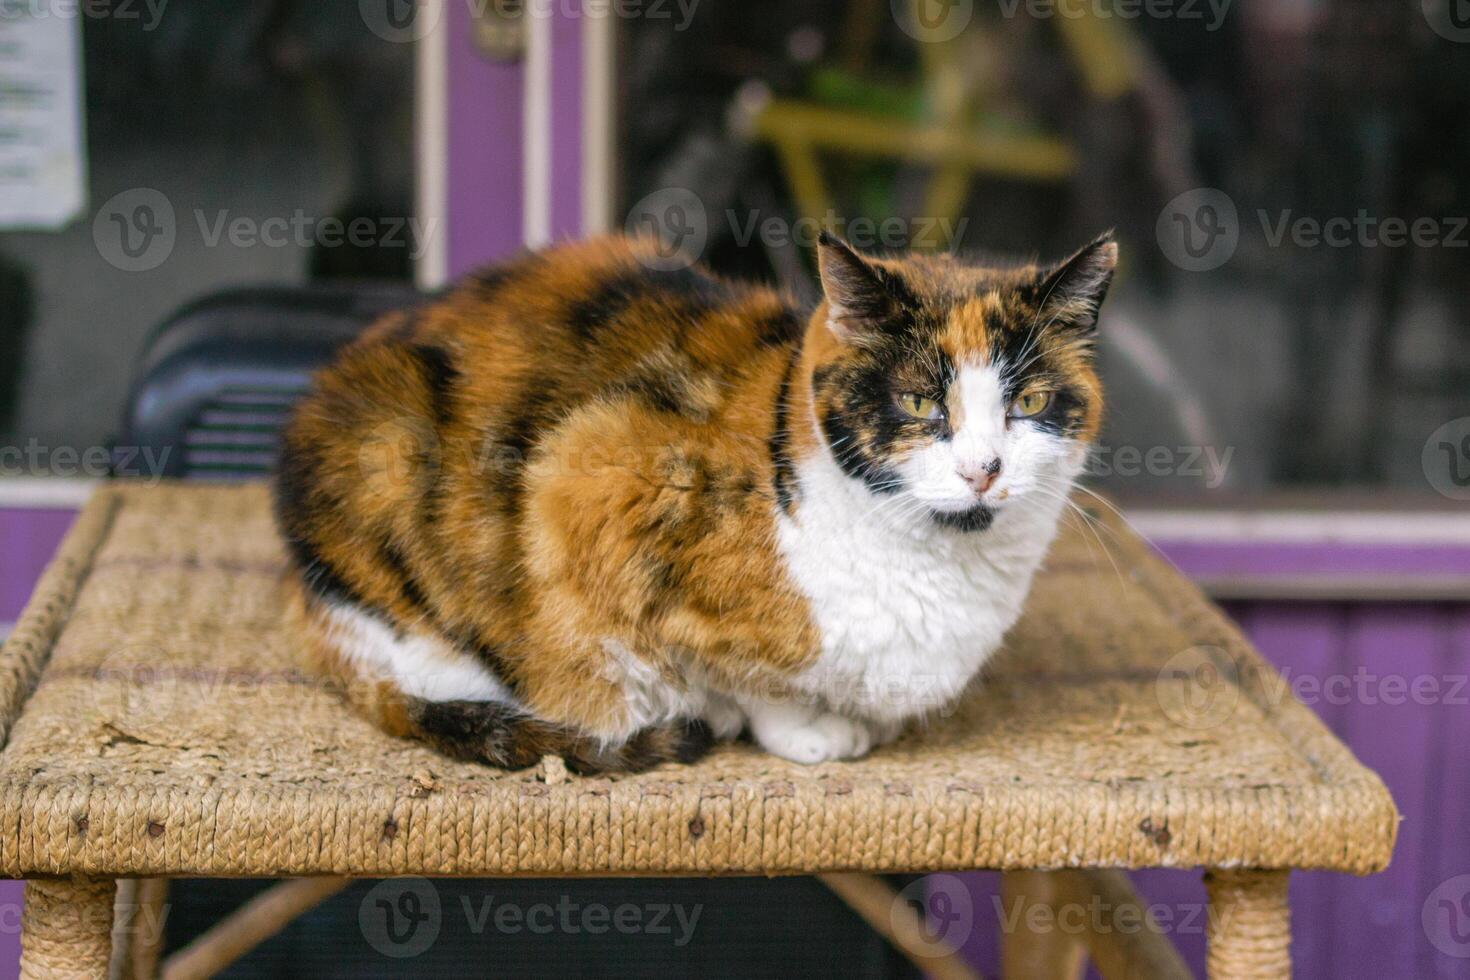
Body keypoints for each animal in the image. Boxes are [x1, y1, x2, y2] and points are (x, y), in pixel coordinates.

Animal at [277, 232, 1111, 775]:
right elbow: (741, 674)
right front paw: (804, 730)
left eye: (1030, 401)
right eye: (916, 401)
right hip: (390, 466)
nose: (983, 470)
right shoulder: (590, 479)